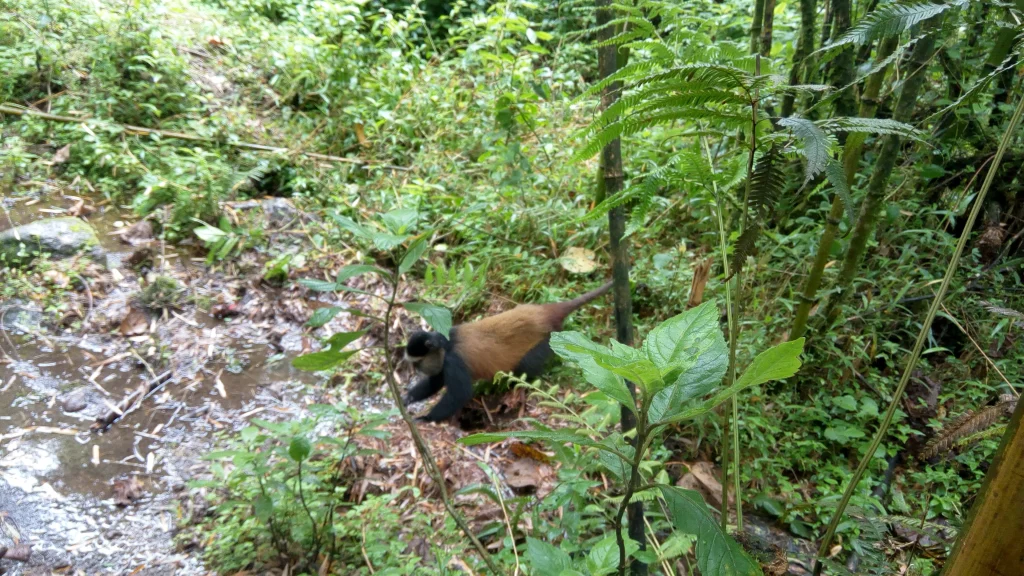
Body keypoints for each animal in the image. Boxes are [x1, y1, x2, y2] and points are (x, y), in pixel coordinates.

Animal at [403, 281, 615, 423]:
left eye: (417, 363)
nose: (416, 370)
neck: (446, 344)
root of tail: (544, 313)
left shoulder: (453, 362)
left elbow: (460, 394)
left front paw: (426, 418)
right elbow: (434, 383)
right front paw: (407, 398)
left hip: (546, 341)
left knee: (526, 365)